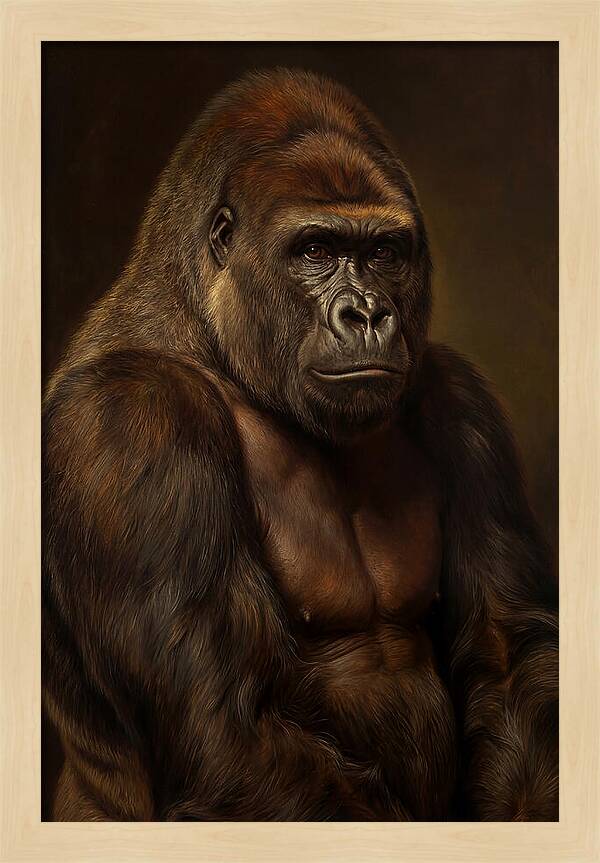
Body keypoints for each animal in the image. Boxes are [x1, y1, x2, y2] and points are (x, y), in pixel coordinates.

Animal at [42, 68, 558, 821]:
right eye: (315, 250)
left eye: (382, 252)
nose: (367, 314)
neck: (213, 338)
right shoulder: (131, 419)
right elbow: (223, 730)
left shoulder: (461, 401)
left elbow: (508, 654)